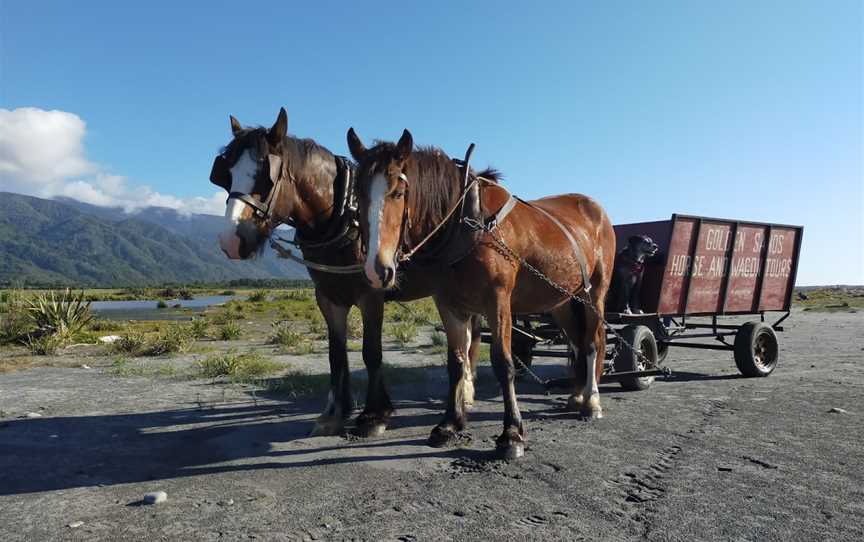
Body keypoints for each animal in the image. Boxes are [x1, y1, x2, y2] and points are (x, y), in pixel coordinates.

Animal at [208, 110, 480, 438]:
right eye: (226, 175)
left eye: (266, 176)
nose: (230, 241)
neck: (339, 218)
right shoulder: (328, 297)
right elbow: (336, 354)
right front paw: (335, 412)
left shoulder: (371, 294)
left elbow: (371, 352)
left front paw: (375, 414)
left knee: (471, 336)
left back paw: (466, 389)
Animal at [344, 127, 616, 460]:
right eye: (358, 194)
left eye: (397, 192)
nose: (376, 269)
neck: (464, 222)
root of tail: (596, 209)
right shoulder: (448, 304)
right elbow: (456, 362)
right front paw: (450, 424)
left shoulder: (497, 302)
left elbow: (503, 363)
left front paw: (511, 434)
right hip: (563, 299)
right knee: (577, 343)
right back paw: (577, 396)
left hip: (594, 293)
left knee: (592, 343)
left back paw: (591, 400)